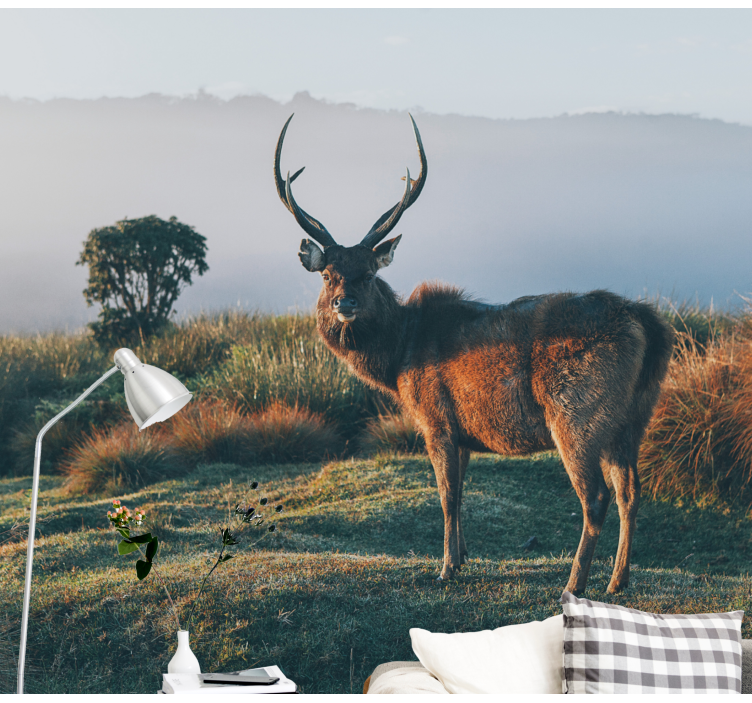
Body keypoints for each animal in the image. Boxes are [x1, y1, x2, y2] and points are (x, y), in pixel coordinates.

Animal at [273, 113, 674, 595]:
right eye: (328, 274)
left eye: (368, 274)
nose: (344, 303)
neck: (398, 359)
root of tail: (648, 325)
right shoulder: (463, 431)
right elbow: (461, 492)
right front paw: (463, 557)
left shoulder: (435, 417)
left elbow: (447, 495)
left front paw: (445, 567)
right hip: (634, 417)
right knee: (631, 490)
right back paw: (618, 581)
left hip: (577, 413)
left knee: (596, 496)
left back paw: (575, 583)